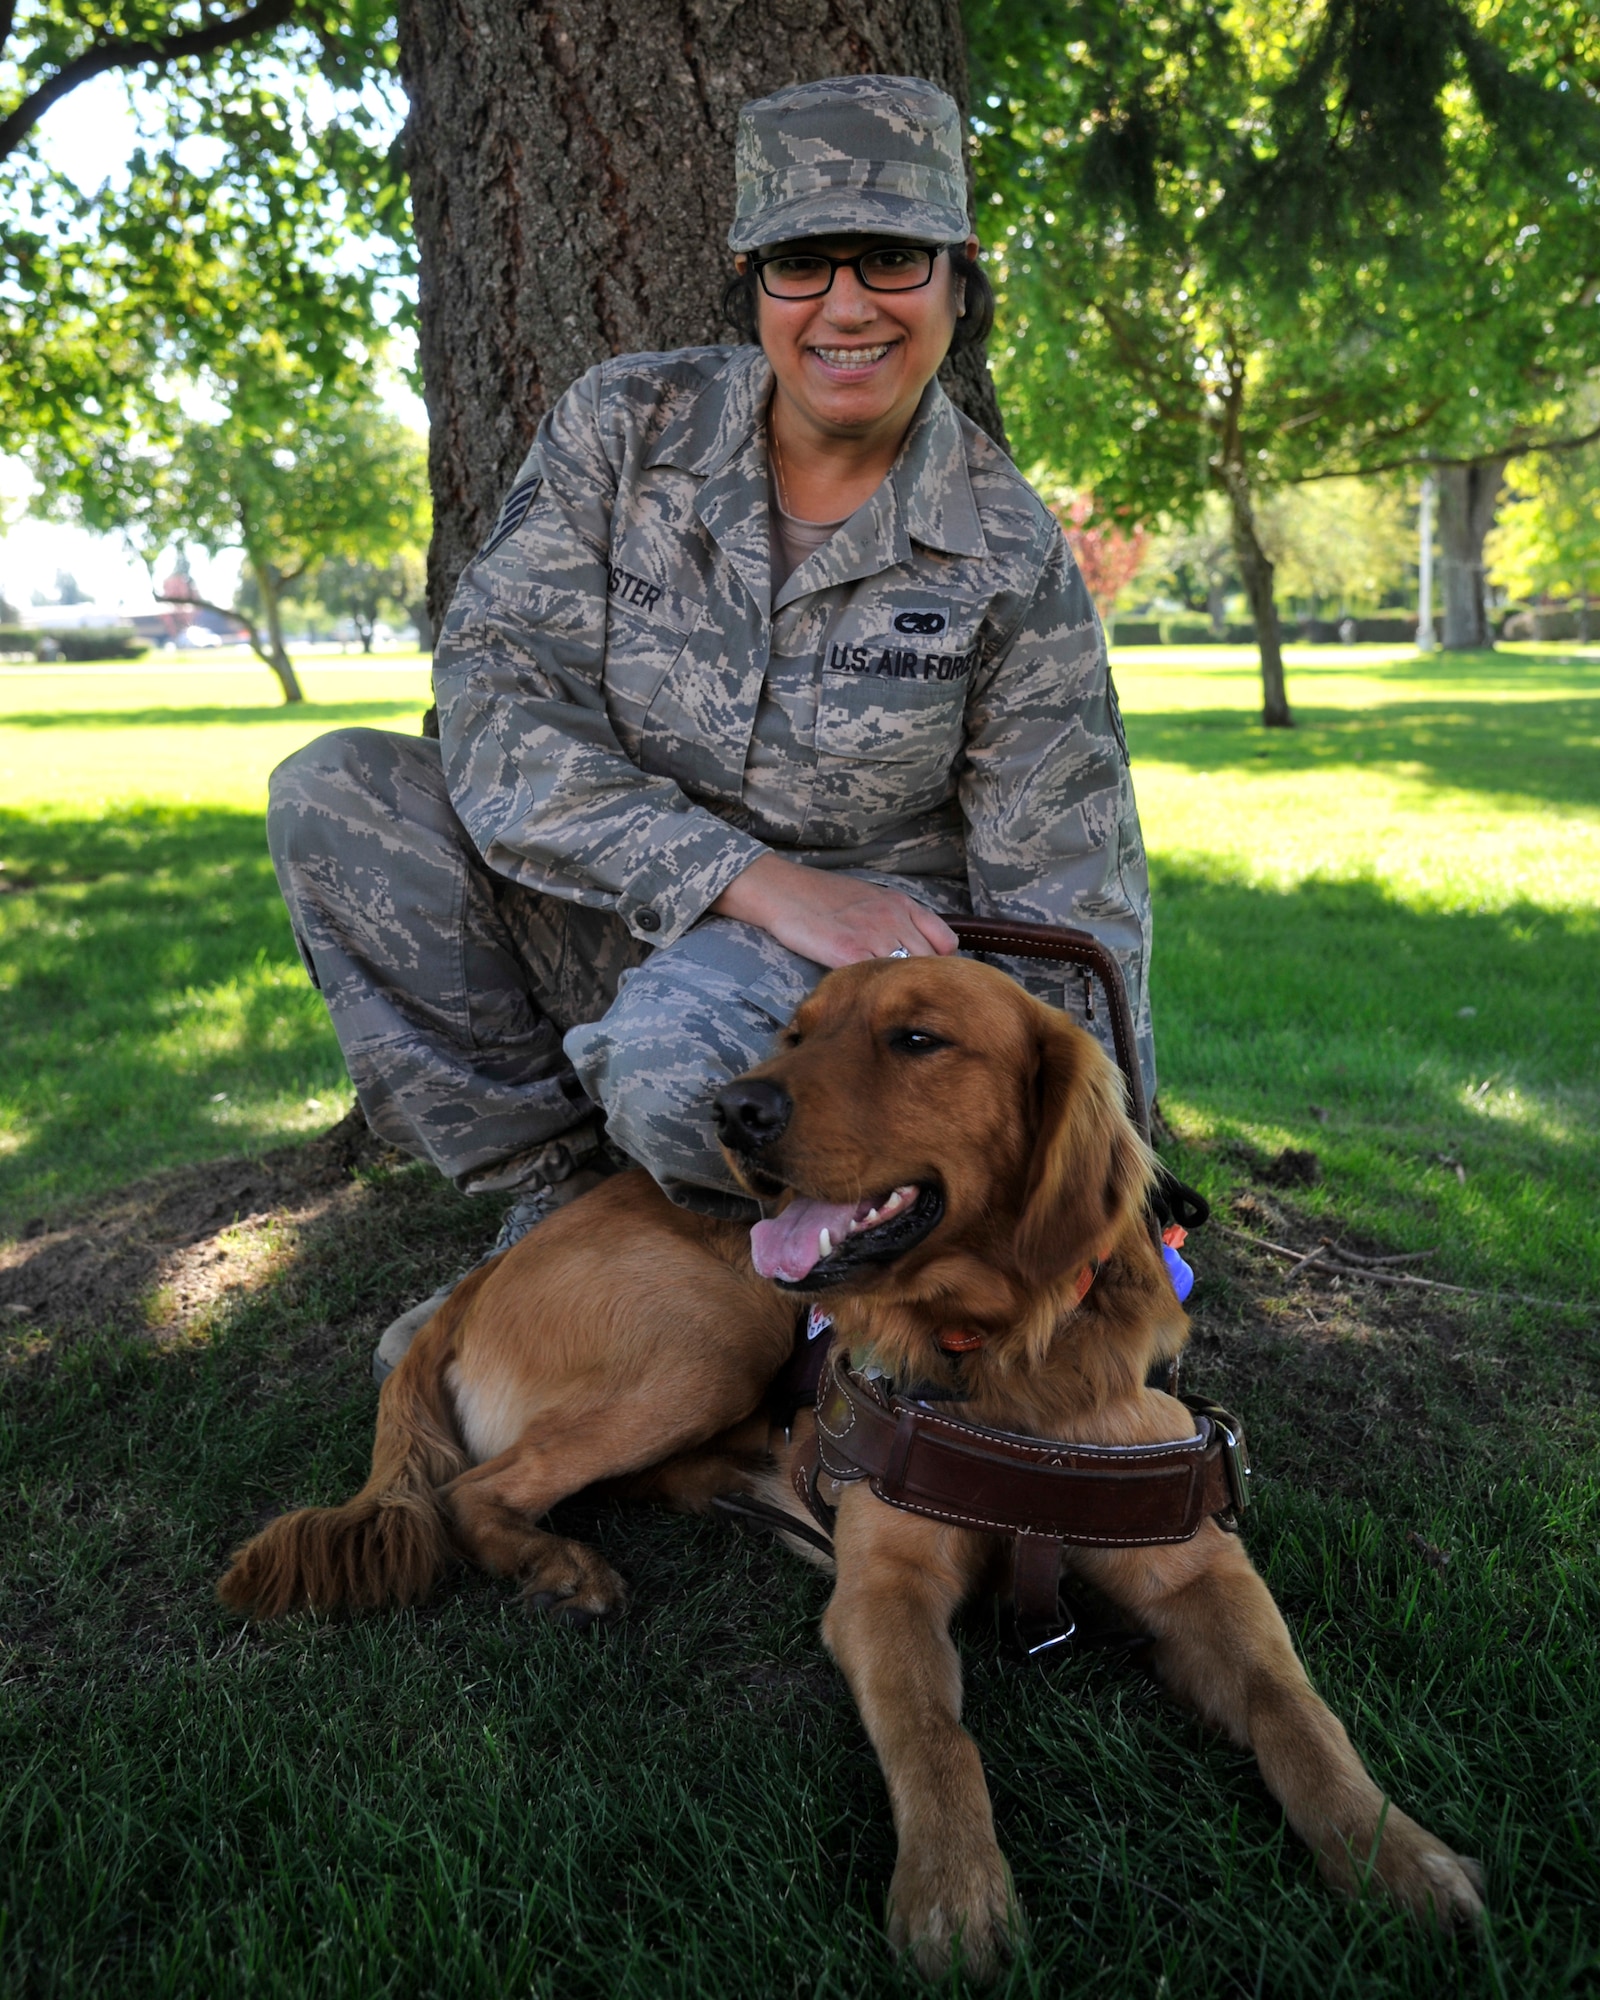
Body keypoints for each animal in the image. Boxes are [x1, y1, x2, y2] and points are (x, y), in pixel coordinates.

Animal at [219, 960, 1480, 1976]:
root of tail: (481, 1277)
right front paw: (955, 1892)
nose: (733, 1108)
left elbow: (1296, 1708)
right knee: (475, 1490)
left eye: (917, 1037)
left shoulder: (1200, 1573)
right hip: (715, 1329)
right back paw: (563, 1567)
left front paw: (1397, 1852)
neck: (996, 1359)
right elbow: (935, 1733)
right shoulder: (885, 1588)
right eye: (793, 1029)